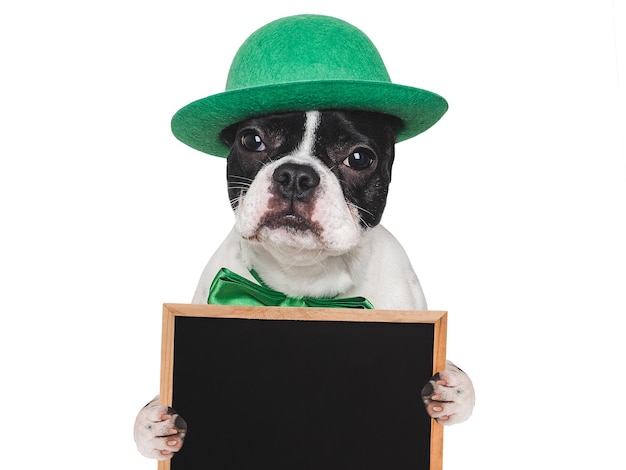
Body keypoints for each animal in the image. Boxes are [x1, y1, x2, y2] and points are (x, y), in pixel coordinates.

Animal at [133, 109, 472, 458]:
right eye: (251, 140)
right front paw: (153, 425)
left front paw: (454, 389)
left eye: (360, 158)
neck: (304, 274)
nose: (296, 175)